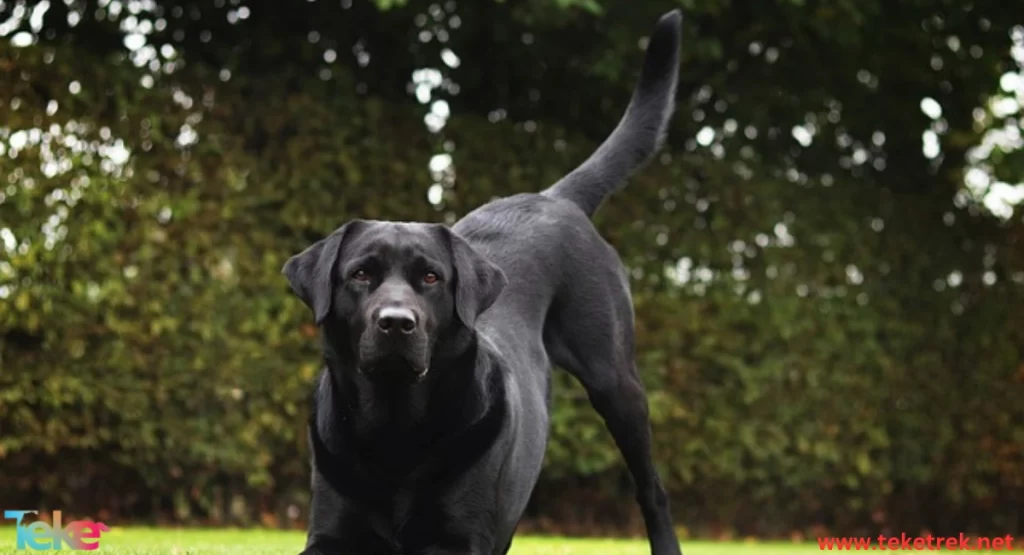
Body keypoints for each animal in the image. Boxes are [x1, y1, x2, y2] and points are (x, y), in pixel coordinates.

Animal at [288, 9, 684, 555]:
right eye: (361, 274)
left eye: (431, 277)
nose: (396, 323)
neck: (394, 429)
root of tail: (553, 197)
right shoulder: (329, 531)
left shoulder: (460, 536)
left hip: (616, 381)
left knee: (653, 489)